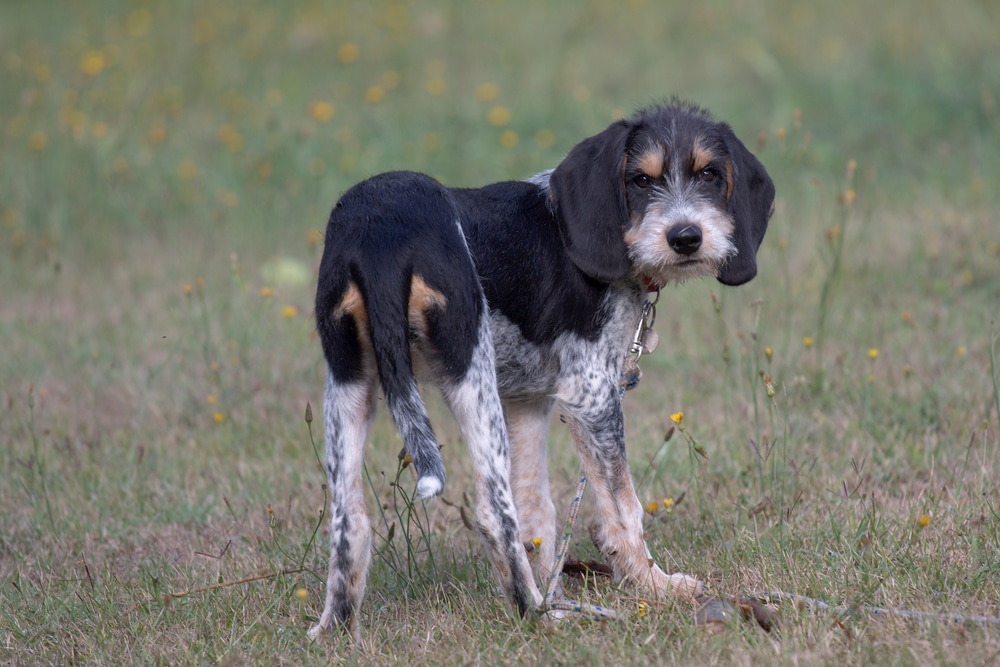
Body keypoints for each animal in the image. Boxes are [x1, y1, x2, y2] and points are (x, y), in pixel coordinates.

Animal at [308, 100, 776, 640]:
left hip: (349, 386)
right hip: (471, 378)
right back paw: (538, 614)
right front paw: (653, 587)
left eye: (709, 174)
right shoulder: (592, 394)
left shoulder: (527, 401)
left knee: (349, 522)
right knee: (493, 513)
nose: (686, 238)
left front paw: (558, 583)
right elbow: (622, 508)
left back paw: (336, 631)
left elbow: (538, 513)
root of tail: (378, 234)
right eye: (640, 180)